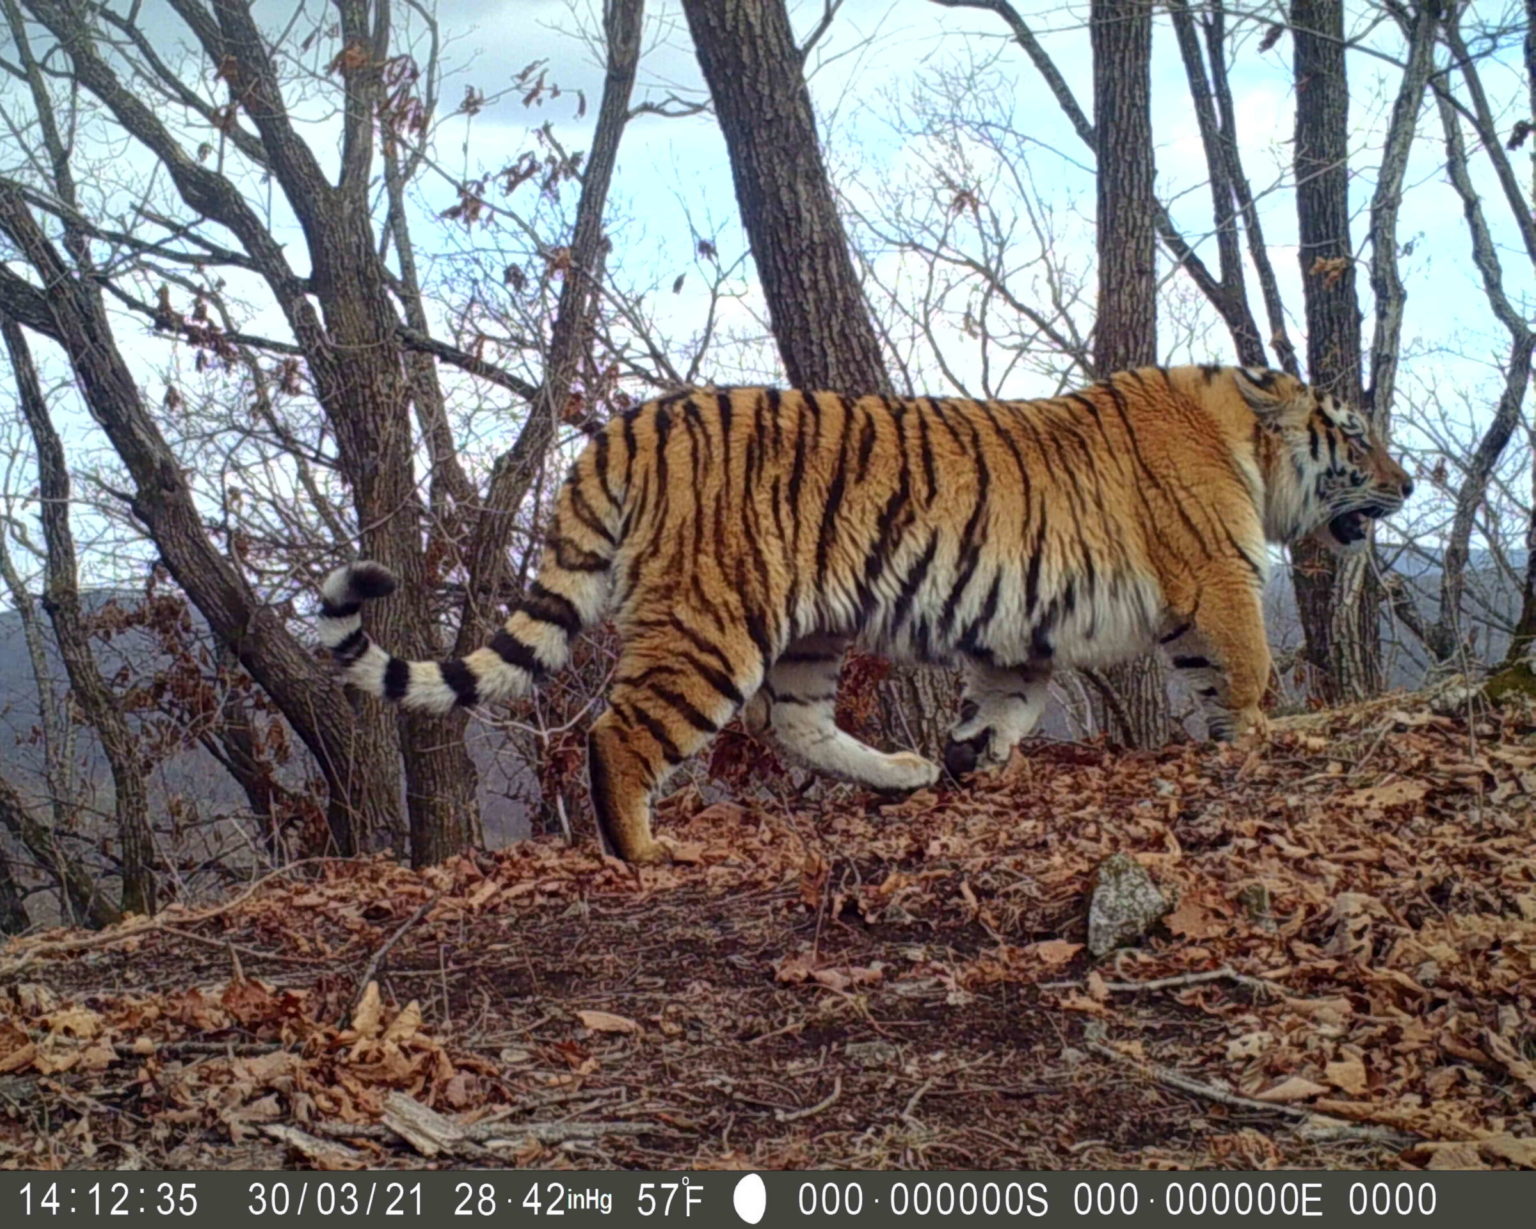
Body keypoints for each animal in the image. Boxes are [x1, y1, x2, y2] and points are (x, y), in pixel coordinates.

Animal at [317, 365, 1406, 866]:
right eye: (1355, 435)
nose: (1408, 481)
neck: (1247, 442)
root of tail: (626, 426)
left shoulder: (1022, 627)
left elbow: (1011, 696)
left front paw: (972, 753)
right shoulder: (1218, 576)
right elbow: (1249, 669)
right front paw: (1273, 735)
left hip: (810, 630)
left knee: (793, 722)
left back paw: (906, 773)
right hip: (713, 624)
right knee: (622, 732)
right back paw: (644, 850)